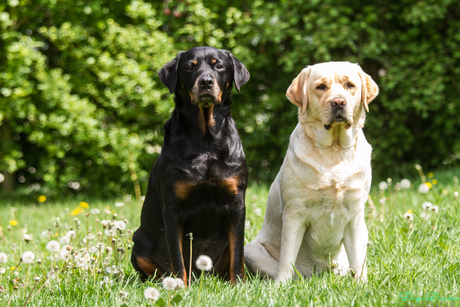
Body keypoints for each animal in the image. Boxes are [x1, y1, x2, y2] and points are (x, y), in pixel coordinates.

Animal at [131, 47, 250, 286]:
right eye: (189, 67)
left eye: (218, 65)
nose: (206, 82)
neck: (205, 140)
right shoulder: (173, 210)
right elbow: (177, 258)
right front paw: (180, 287)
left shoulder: (236, 205)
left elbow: (237, 256)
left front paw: (239, 285)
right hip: (138, 243)